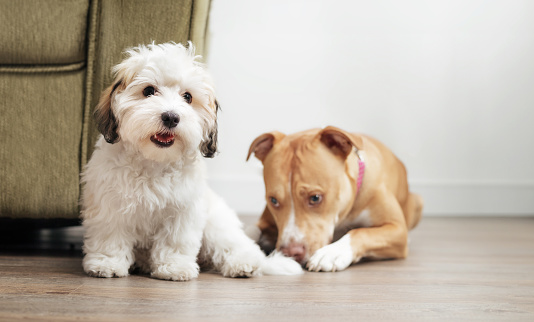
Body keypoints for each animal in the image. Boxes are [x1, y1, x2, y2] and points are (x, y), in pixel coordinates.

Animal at [81, 42, 304, 280]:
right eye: (148, 91)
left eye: (187, 97)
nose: (171, 117)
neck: (153, 161)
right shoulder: (110, 204)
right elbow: (109, 236)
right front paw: (107, 263)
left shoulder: (183, 209)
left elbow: (175, 240)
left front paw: (174, 266)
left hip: (216, 225)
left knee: (237, 246)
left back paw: (244, 263)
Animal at [247, 126, 422, 272]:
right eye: (273, 201)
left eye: (315, 198)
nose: (290, 253)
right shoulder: (265, 221)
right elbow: (251, 230)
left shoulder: (397, 229)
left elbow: (361, 232)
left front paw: (332, 253)